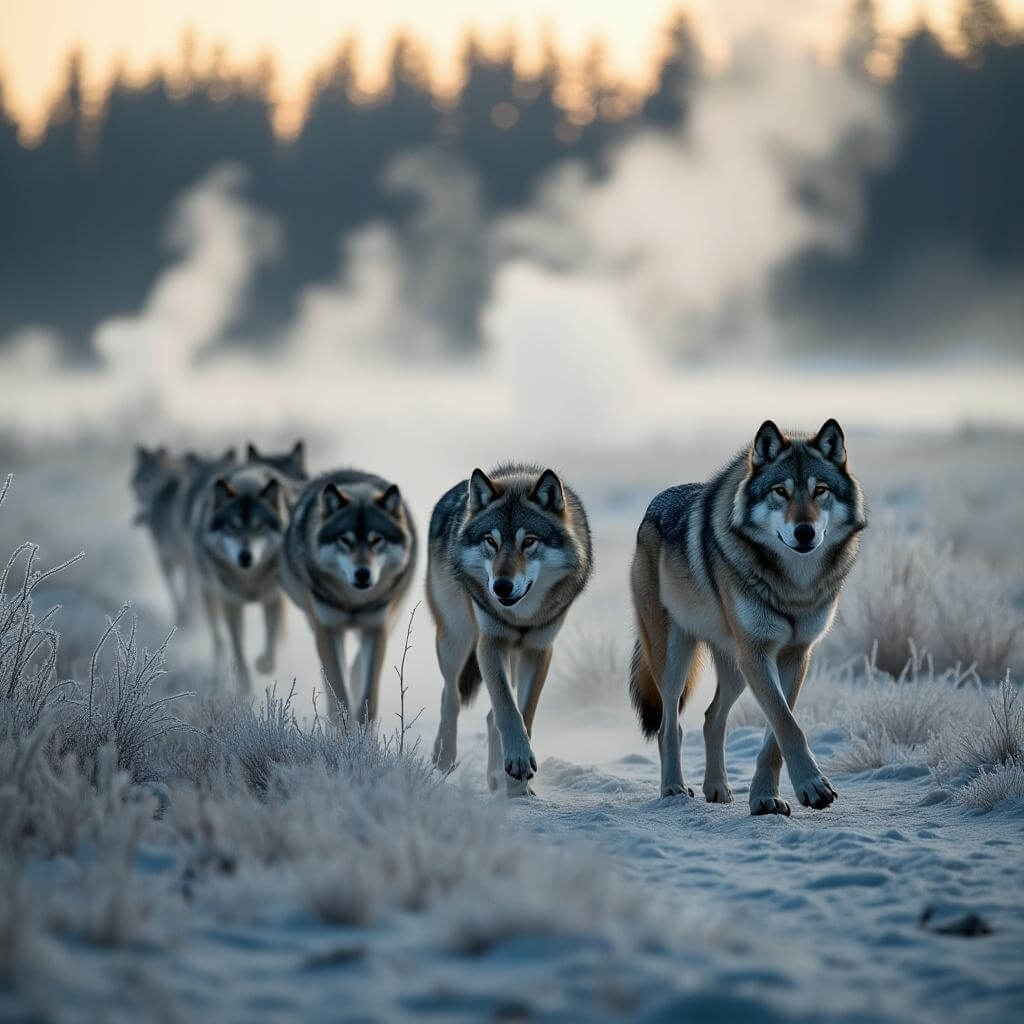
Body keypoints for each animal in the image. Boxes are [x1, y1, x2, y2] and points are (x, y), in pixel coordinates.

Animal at [131, 445, 189, 623]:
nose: (134, 486)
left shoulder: (166, 559)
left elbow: (178, 596)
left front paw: (184, 619)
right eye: (140, 479)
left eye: (147, 478)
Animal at [190, 464, 288, 691]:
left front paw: (264, 664)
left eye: (259, 526)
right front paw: (244, 685)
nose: (245, 556)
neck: (249, 583)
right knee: (218, 635)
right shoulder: (232, 602)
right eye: (232, 527)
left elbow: (270, 638)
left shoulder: (273, 598)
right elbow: (238, 648)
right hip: (209, 593)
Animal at [280, 470, 417, 724]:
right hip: (318, 623)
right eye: (344, 540)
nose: (362, 573)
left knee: (356, 667)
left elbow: (368, 696)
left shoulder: (375, 627)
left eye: (376, 540)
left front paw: (362, 733)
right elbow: (338, 692)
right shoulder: (329, 627)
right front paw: (343, 730)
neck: (354, 603)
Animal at [428, 464, 592, 796]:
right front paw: (517, 761)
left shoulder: (538, 649)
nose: (501, 586)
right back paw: (444, 756)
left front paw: (518, 784)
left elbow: (522, 713)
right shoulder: (490, 643)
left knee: (489, 715)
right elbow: (507, 707)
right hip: (456, 638)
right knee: (450, 694)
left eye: (528, 541)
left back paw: (495, 777)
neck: (520, 618)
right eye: (491, 541)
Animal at [630, 419, 866, 815]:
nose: (805, 531)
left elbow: (778, 731)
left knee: (711, 718)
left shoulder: (793, 656)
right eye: (780, 492)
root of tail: (652, 507)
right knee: (669, 725)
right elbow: (788, 725)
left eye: (819, 490)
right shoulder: (757, 652)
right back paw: (674, 787)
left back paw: (717, 788)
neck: (794, 587)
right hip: (676, 658)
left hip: (736, 668)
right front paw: (812, 786)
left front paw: (766, 798)